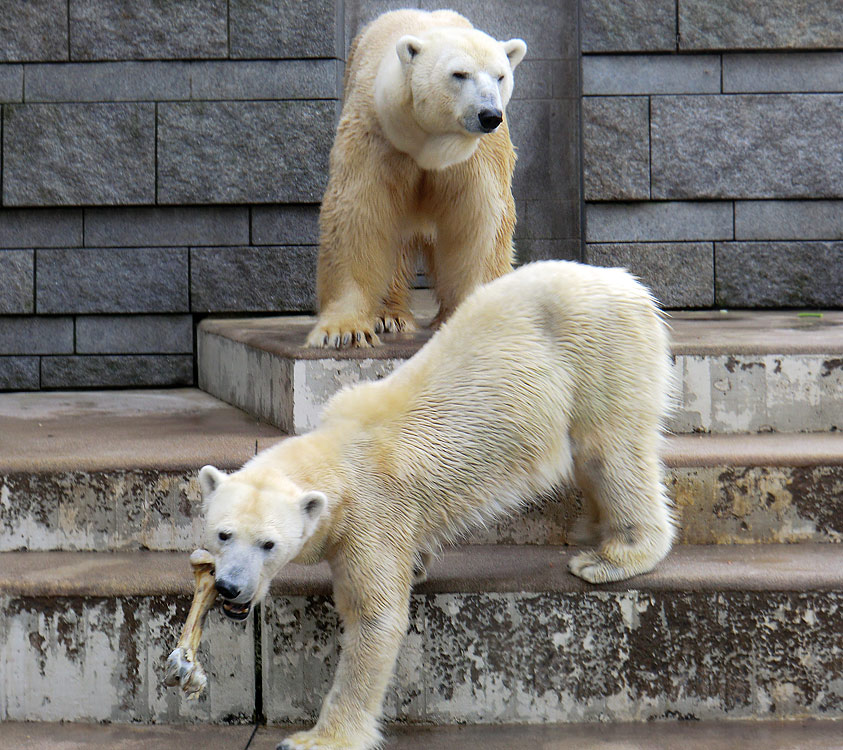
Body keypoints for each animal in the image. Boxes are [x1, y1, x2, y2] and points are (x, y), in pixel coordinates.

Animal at [201, 260, 676, 750]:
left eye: (269, 544)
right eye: (222, 534)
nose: (230, 587)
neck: (339, 450)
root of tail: (626, 282)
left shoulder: (370, 516)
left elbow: (374, 618)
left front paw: (318, 738)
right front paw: (418, 564)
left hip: (600, 350)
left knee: (610, 449)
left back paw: (613, 556)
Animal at [304, 8, 528, 350]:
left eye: (500, 76)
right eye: (459, 74)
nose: (489, 114)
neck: (428, 143)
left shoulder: (476, 155)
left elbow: (479, 221)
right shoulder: (377, 135)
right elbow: (358, 214)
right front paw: (344, 331)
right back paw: (389, 316)